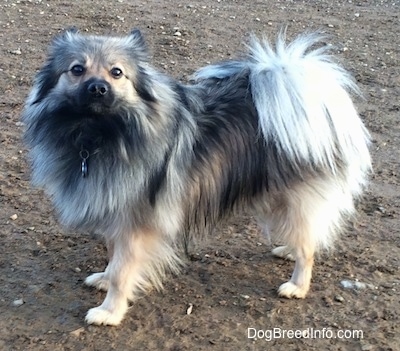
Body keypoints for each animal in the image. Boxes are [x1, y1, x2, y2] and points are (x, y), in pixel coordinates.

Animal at [21, 28, 372, 328]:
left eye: (116, 72)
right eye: (77, 69)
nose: (98, 87)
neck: (99, 134)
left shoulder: (136, 222)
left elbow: (123, 270)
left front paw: (109, 311)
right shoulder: (114, 210)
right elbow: (113, 256)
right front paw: (105, 279)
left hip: (296, 197)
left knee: (309, 245)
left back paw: (296, 285)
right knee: (305, 234)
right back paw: (288, 248)